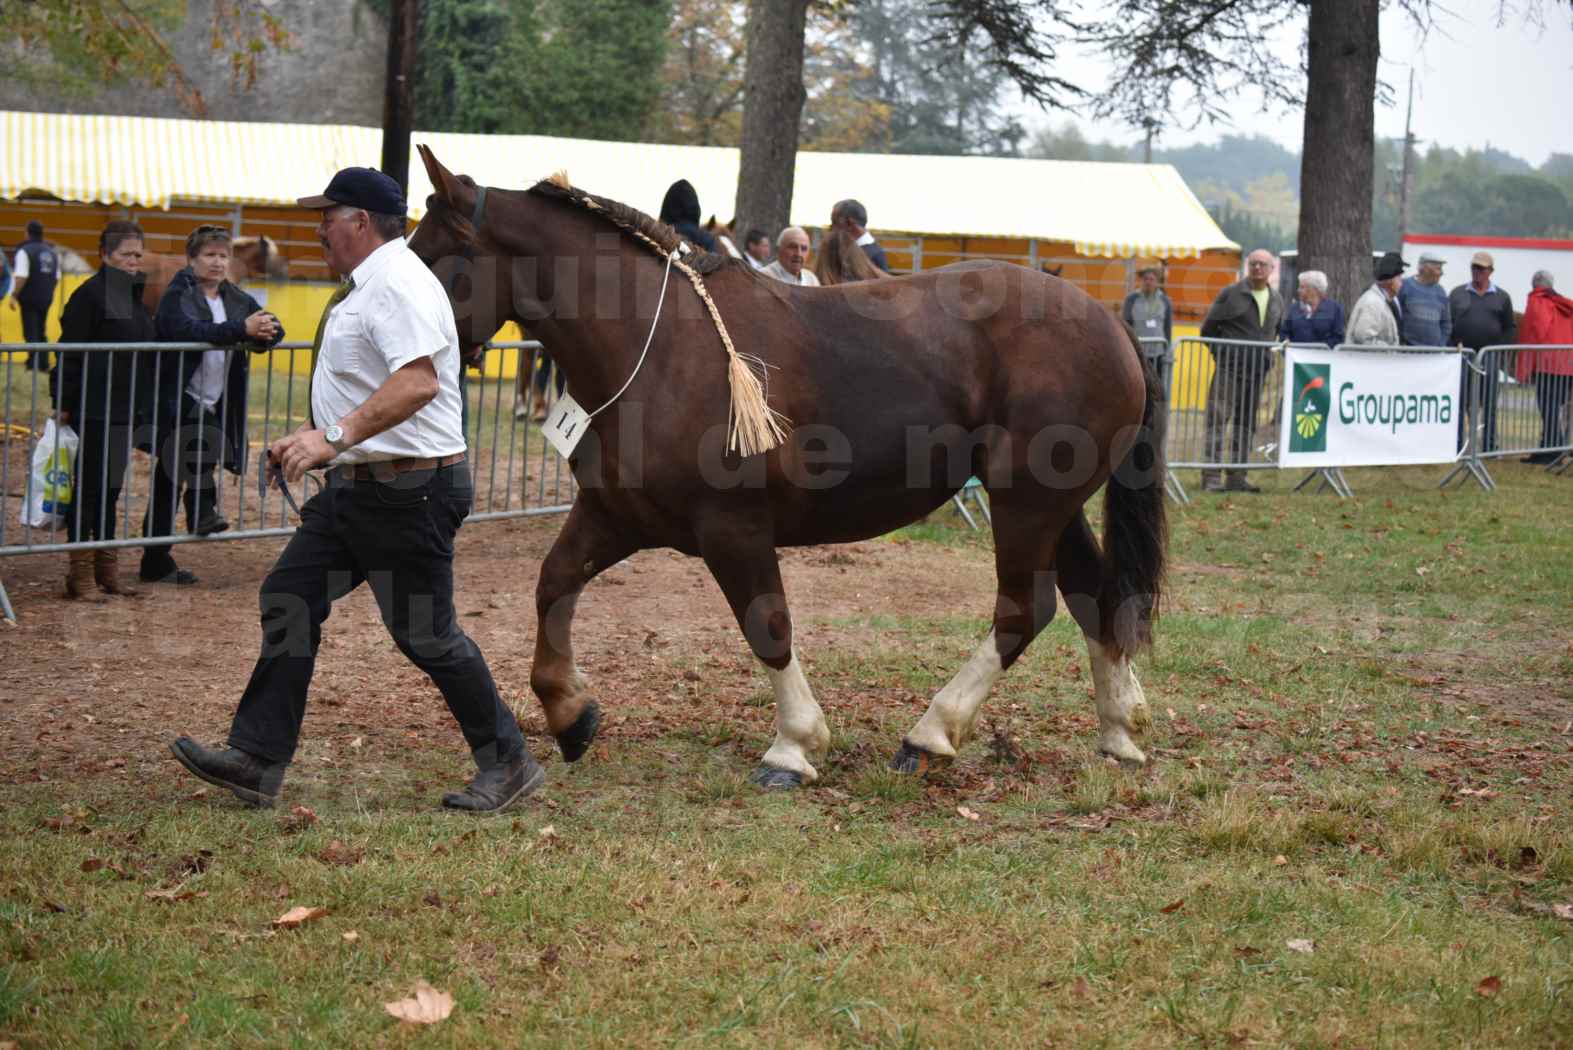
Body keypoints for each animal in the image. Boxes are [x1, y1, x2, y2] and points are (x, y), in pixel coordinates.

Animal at [412, 145, 1164, 785]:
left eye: (432, 255)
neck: (660, 349)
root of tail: (1108, 321)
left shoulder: (733, 528)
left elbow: (766, 625)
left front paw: (793, 746)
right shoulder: (614, 515)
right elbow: (553, 583)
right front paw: (570, 712)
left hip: (1026, 503)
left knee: (1023, 609)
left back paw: (930, 733)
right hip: (1051, 507)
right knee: (1093, 594)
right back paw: (1119, 729)